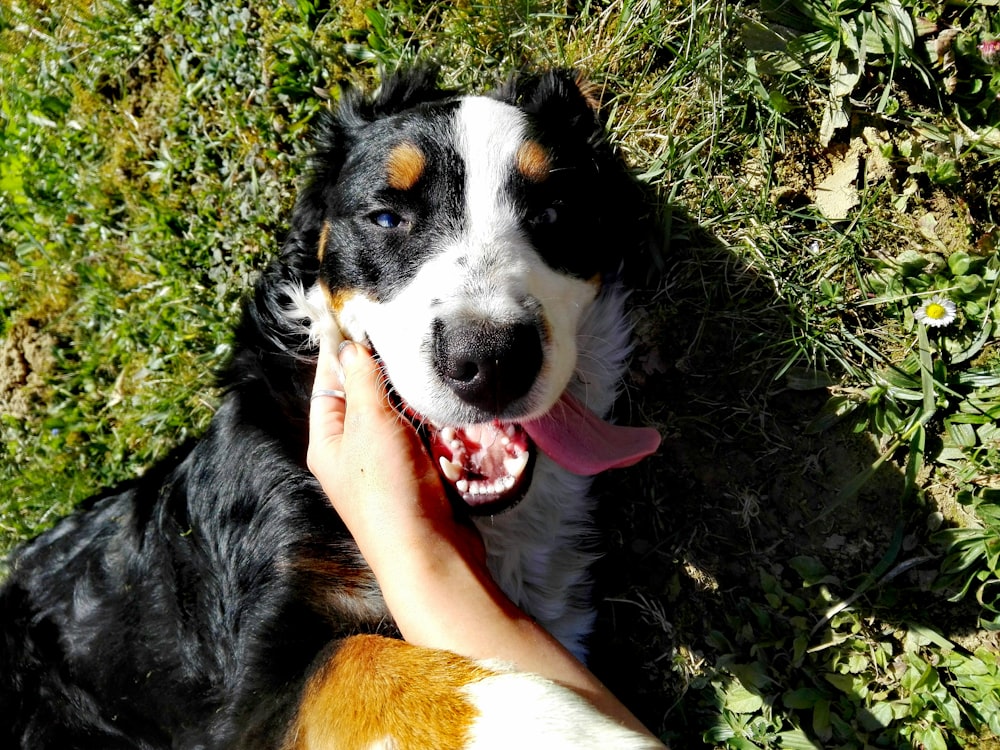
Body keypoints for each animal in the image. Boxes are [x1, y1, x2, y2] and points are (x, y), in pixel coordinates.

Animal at [0, 67, 664, 748]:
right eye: (387, 216)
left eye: (556, 211)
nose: (491, 359)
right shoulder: (248, 697)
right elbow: (350, 659)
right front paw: (559, 728)